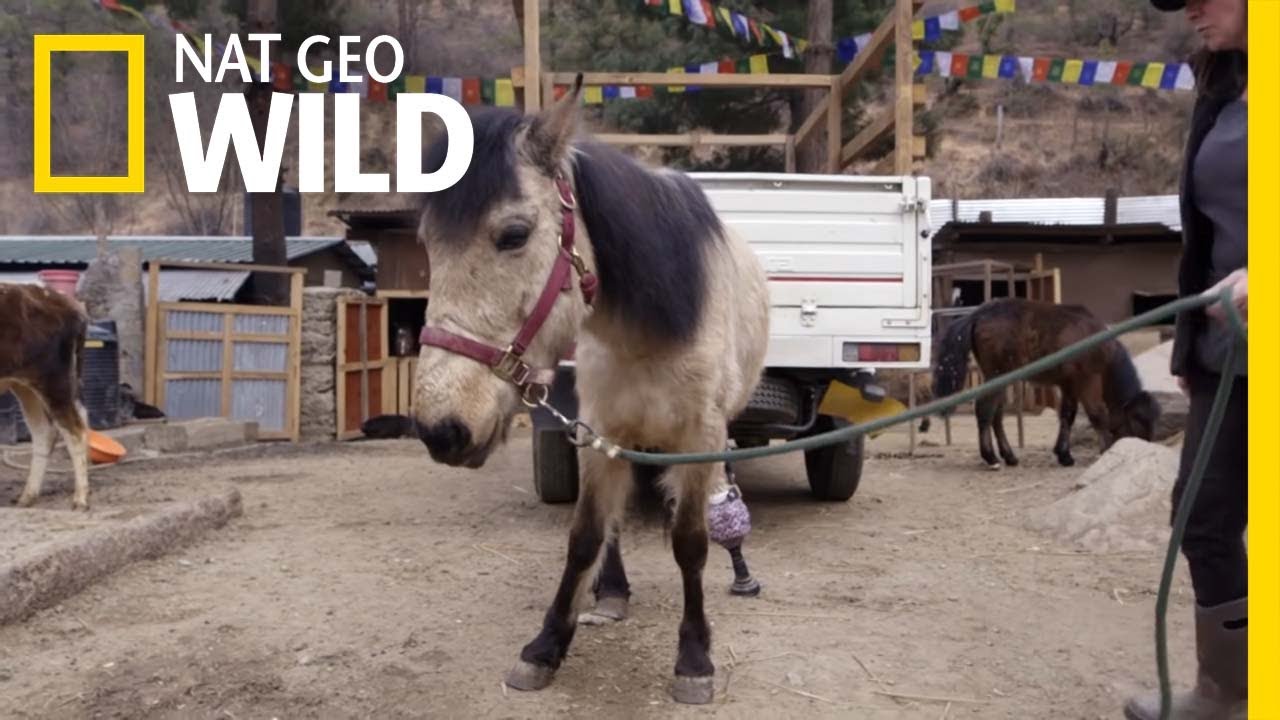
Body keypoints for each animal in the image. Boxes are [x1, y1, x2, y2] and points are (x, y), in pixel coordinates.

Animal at [0, 284, 91, 509]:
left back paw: (80, 498)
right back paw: (27, 496)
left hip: (54, 382)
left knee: (75, 431)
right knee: (44, 432)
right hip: (25, 387)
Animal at [408, 77, 770, 704]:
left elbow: (691, 541)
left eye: (513, 235)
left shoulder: (701, 439)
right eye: (428, 243)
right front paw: (547, 645)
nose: (442, 430)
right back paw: (612, 592)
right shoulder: (601, 430)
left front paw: (694, 657)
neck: (647, 330)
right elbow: (586, 536)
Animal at [932, 298, 1160, 469]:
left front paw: (1064, 454)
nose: (1145, 450)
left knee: (997, 414)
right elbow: (1097, 414)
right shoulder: (1088, 380)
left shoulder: (1069, 385)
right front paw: (1104, 451)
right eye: (1139, 420)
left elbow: (1068, 416)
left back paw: (1009, 456)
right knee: (985, 410)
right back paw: (991, 457)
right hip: (996, 375)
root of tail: (979, 313)